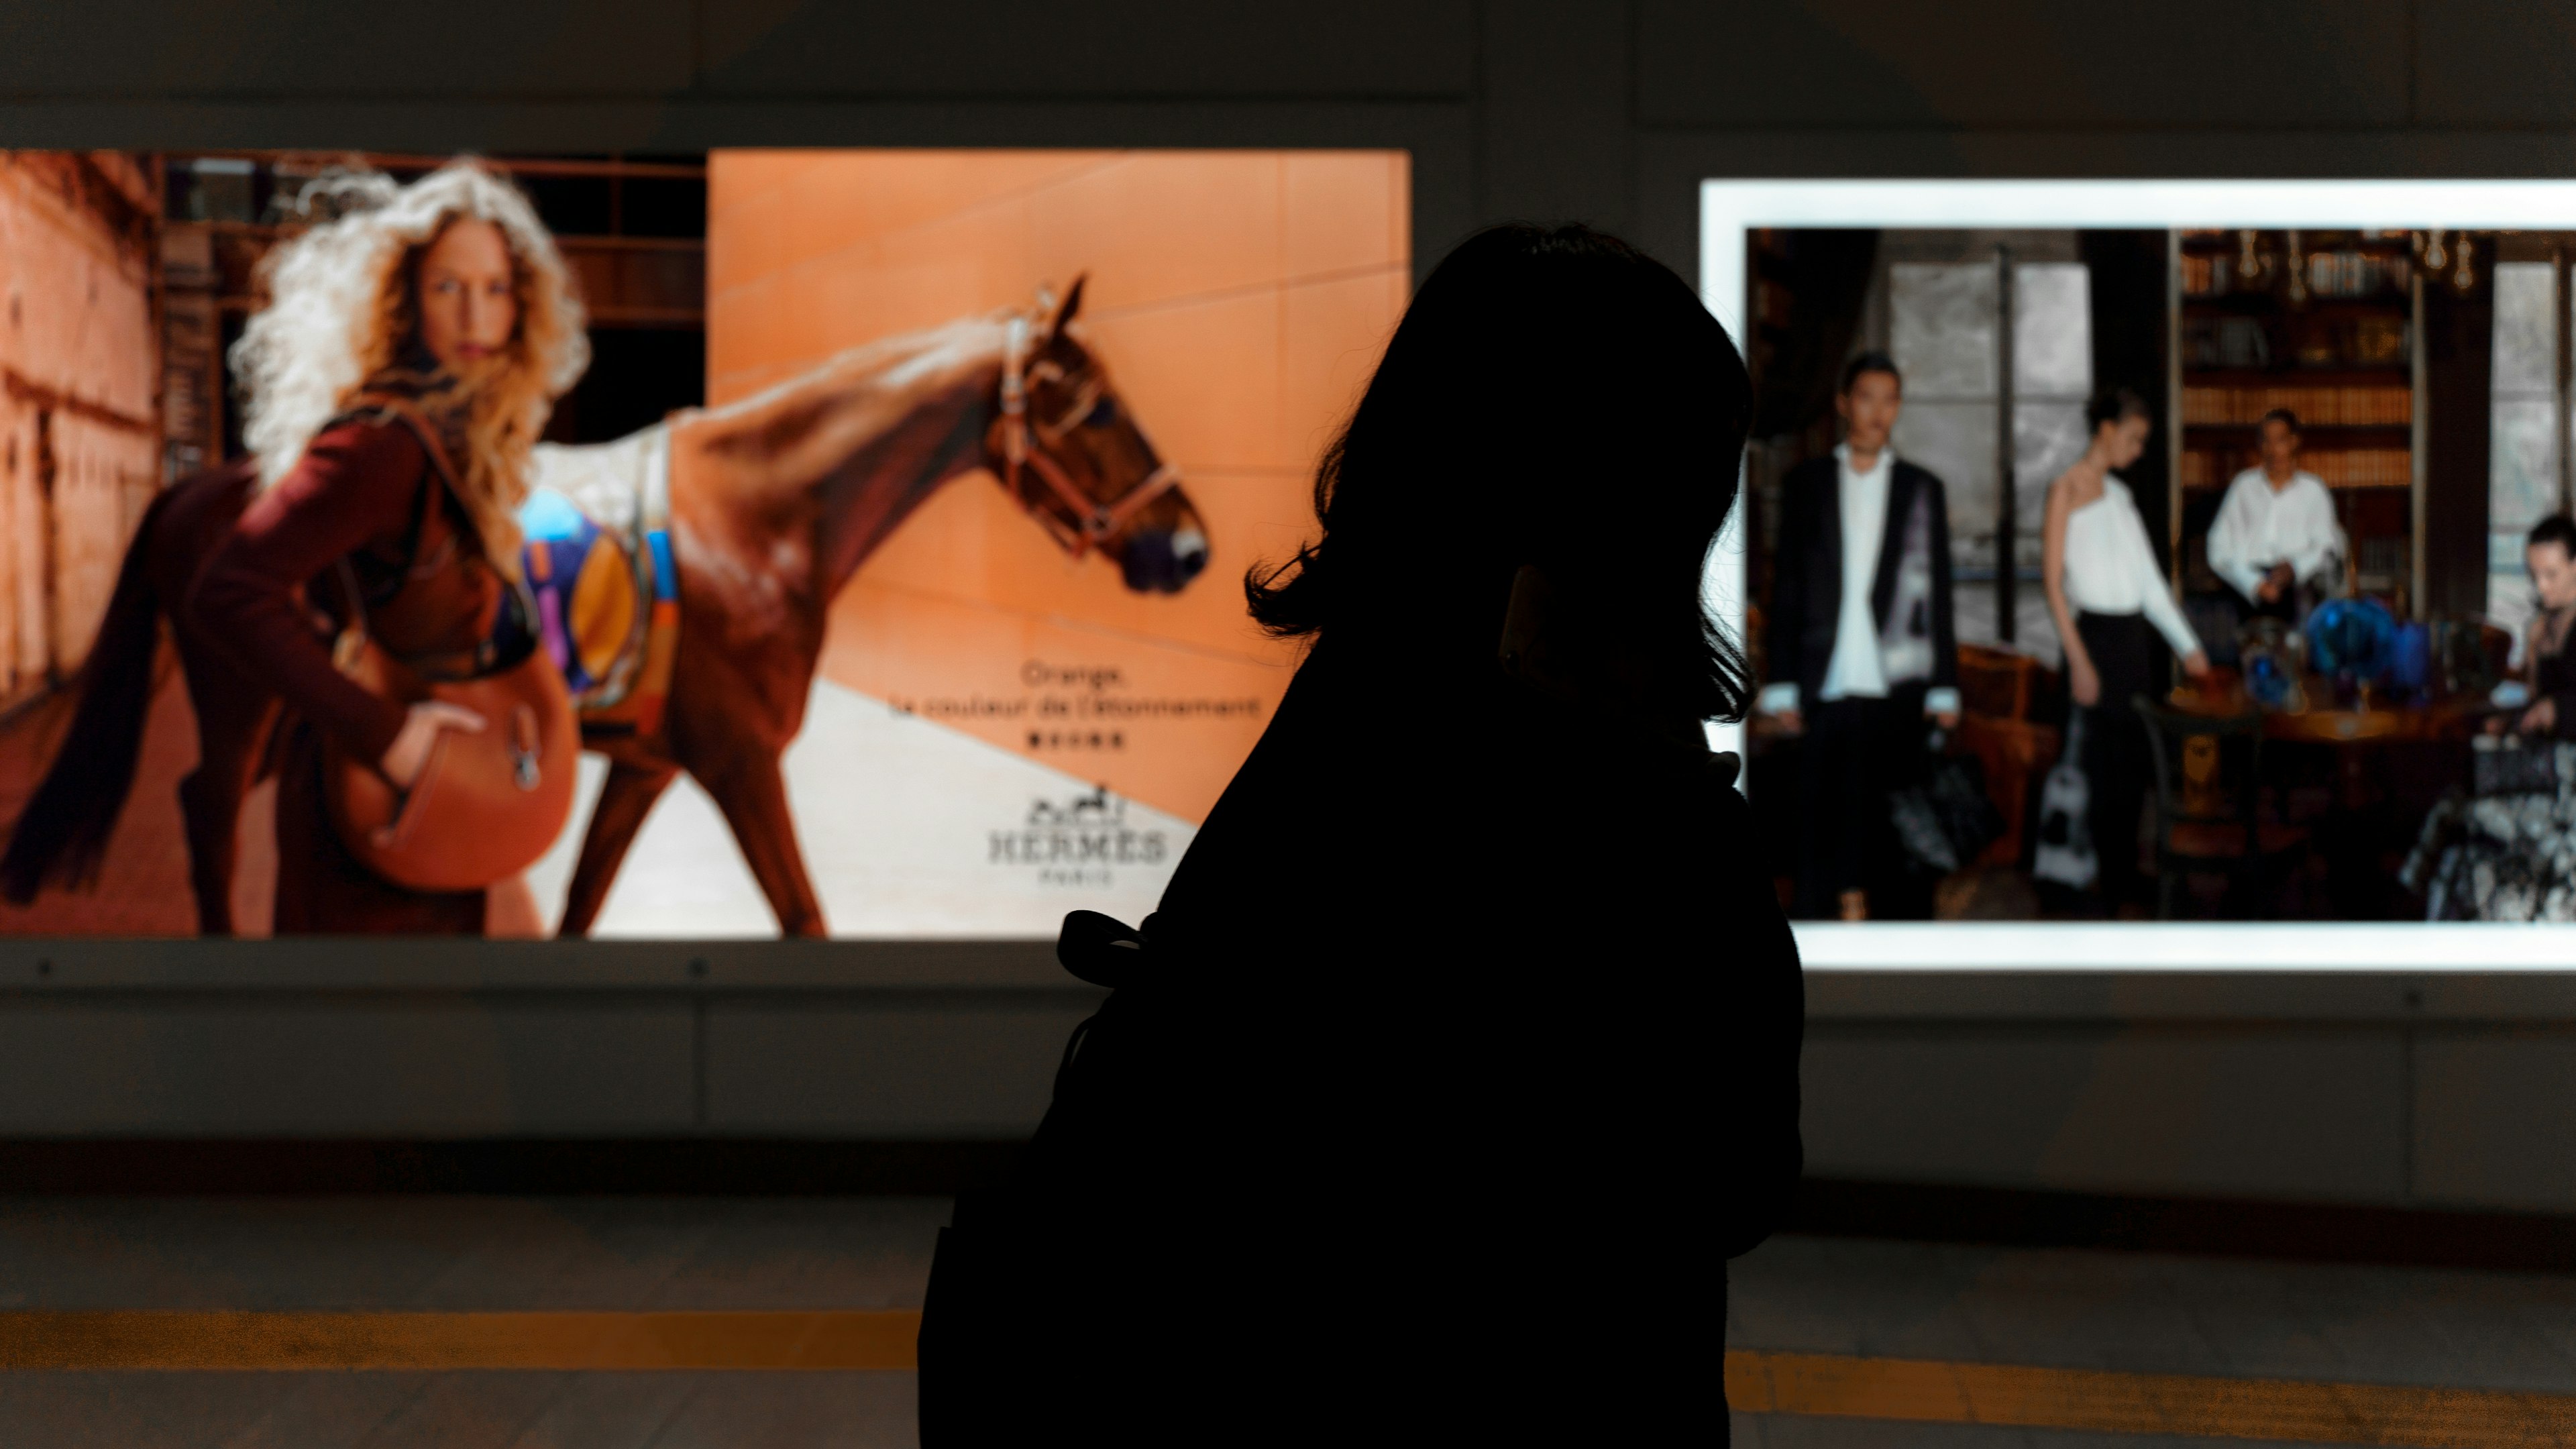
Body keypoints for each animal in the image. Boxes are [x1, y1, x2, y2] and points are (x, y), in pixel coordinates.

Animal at [7, 282, 1205, 938]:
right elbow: (804, 916)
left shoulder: (648, 768)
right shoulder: (741, 766)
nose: (1187, 547)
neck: (753, 520)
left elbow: (582, 908)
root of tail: (198, 486)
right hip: (241, 705)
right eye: (1098, 408)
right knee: (208, 817)